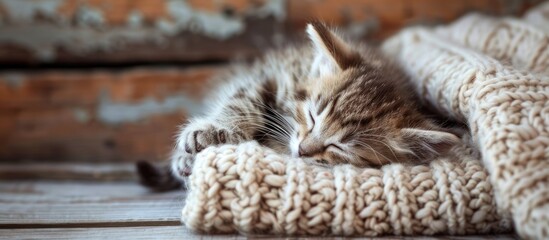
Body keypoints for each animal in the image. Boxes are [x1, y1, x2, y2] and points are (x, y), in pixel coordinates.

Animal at [136, 23, 458, 191]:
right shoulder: (272, 74)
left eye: (340, 147)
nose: (302, 150)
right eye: (313, 116)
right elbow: (243, 99)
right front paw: (213, 132)